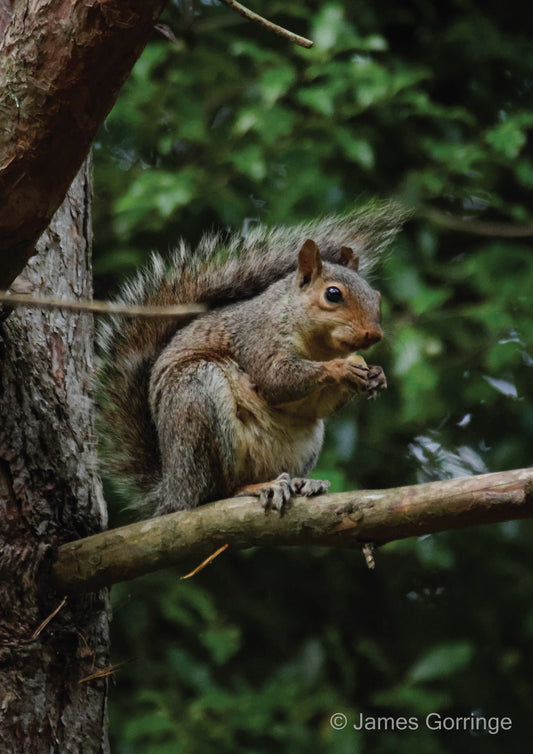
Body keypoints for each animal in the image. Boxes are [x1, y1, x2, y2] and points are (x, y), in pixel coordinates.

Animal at [98, 203, 404, 516]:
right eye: (333, 294)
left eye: (376, 296)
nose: (374, 334)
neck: (318, 347)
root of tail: (173, 491)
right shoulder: (256, 338)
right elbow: (275, 380)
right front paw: (340, 368)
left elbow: (319, 406)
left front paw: (376, 375)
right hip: (196, 401)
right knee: (215, 492)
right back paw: (256, 487)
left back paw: (301, 483)